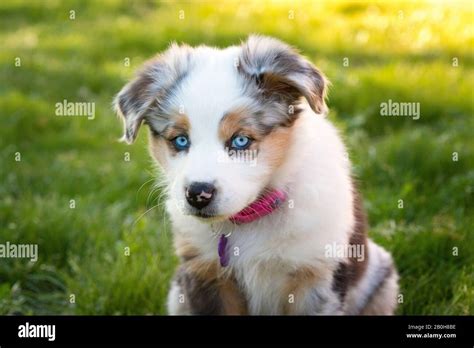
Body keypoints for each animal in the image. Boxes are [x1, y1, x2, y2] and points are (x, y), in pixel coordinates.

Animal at [113, 35, 398, 316]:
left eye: (241, 140)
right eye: (180, 140)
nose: (198, 195)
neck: (251, 218)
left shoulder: (316, 275)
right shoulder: (205, 272)